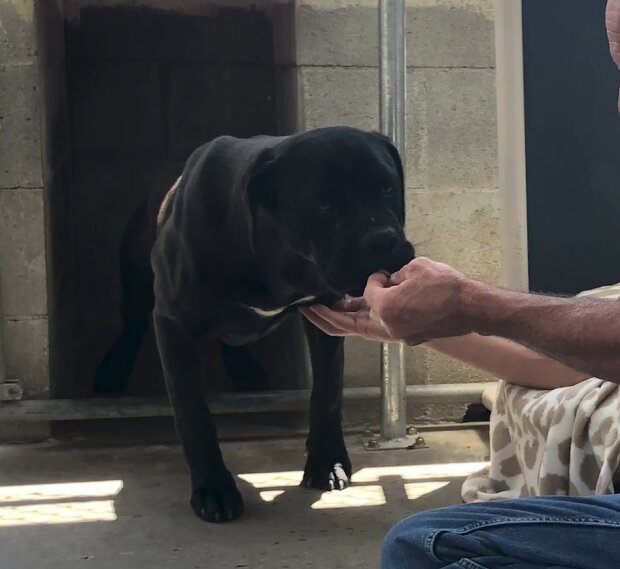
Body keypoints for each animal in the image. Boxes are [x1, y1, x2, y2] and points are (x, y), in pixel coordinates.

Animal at [94, 126, 414, 520]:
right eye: (323, 205)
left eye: (386, 187)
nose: (384, 240)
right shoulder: (173, 321)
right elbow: (192, 412)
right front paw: (213, 488)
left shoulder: (324, 313)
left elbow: (327, 393)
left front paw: (326, 463)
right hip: (136, 276)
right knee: (133, 323)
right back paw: (113, 370)